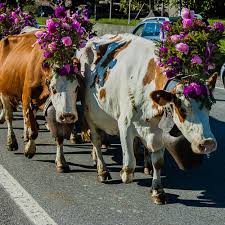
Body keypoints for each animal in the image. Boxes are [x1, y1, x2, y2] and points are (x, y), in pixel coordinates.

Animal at [0, 31, 79, 171]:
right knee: (9, 117)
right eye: (53, 88)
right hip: (5, 92)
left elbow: (59, 137)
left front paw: (61, 161)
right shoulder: (26, 98)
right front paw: (29, 149)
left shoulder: (55, 110)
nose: (68, 115)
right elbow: (33, 130)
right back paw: (11, 142)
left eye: (77, 87)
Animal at [79, 33, 218, 204]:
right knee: (96, 140)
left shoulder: (159, 132)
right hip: (90, 115)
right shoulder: (124, 124)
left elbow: (158, 162)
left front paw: (158, 191)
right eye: (182, 108)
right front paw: (125, 174)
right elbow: (130, 164)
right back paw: (102, 170)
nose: (208, 143)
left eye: (209, 106)